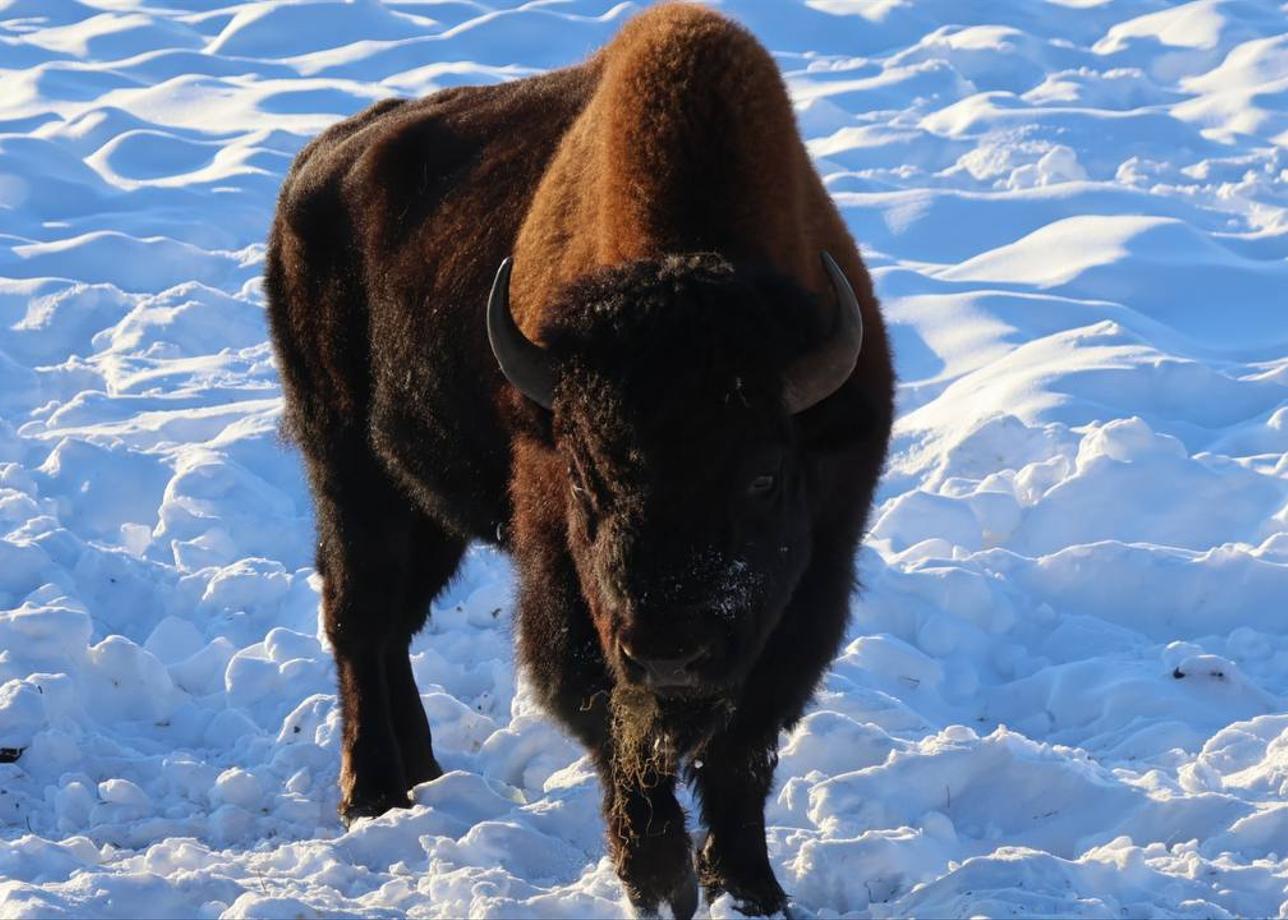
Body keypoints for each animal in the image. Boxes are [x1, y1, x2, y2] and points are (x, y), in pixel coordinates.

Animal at [269, 5, 896, 912]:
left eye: (764, 476)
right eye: (583, 471)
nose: (669, 649)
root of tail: (316, 166)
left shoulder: (811, 591)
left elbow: (741, 750)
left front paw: (752, 887)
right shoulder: (565, 585)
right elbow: (612, 726)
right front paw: (660, 880)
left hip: (424, 505)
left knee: (393, 625)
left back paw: (421, 770)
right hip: (348, 471)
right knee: (358, 618)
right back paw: (373, 792)